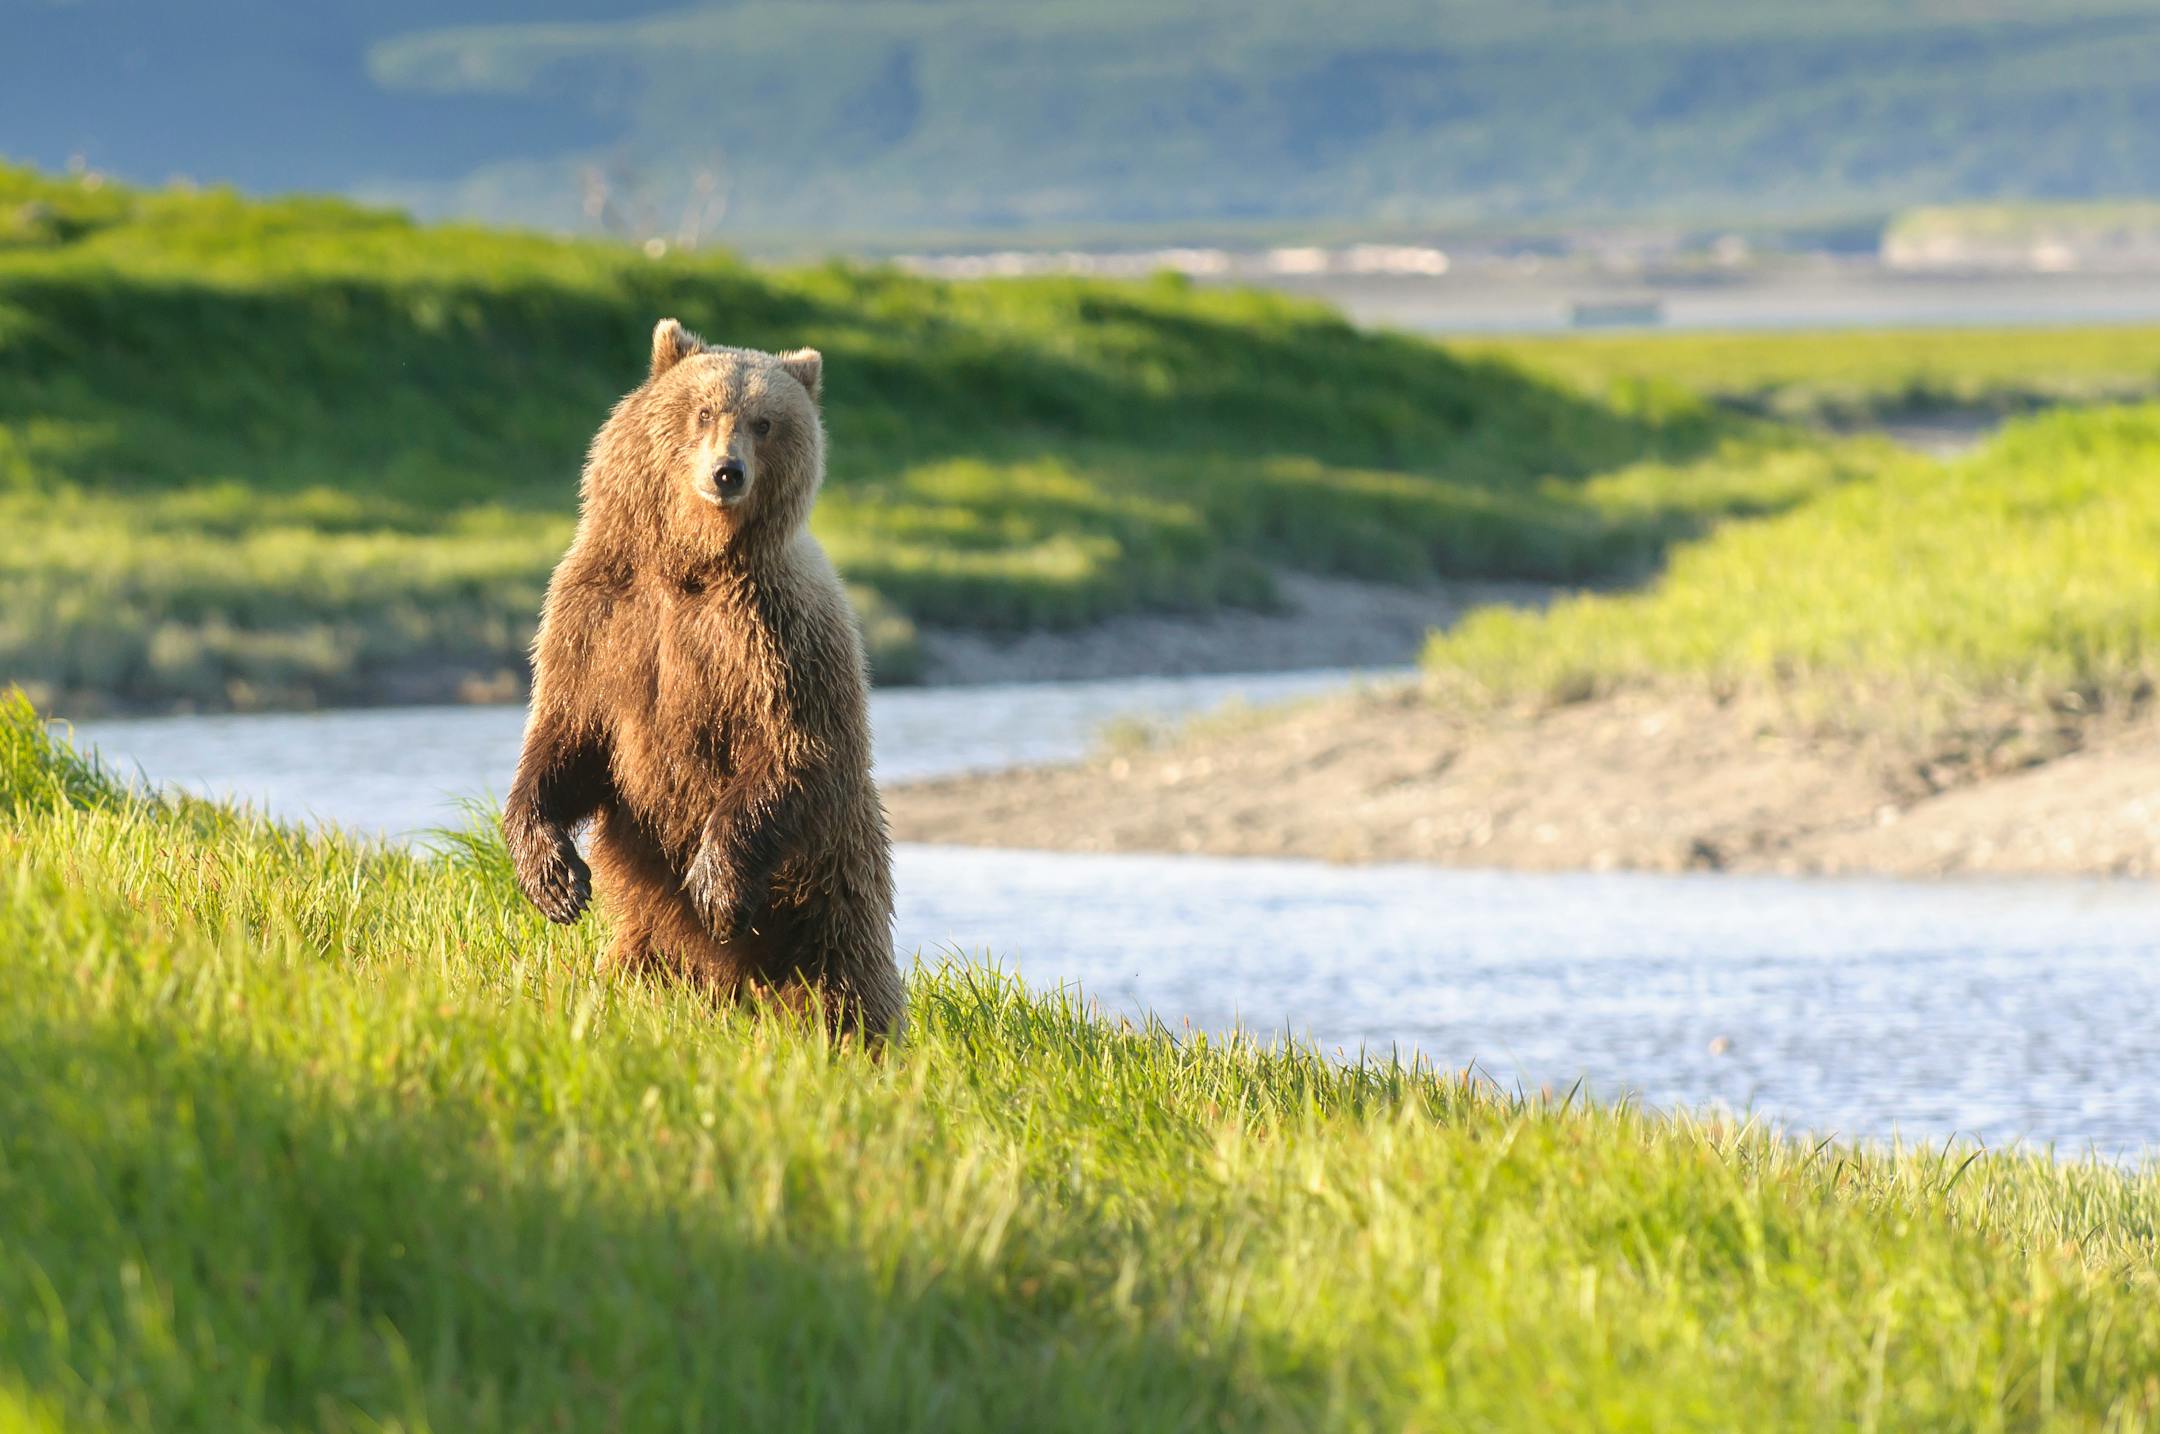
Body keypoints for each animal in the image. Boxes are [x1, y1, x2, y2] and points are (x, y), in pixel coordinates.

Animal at [502, 318, 904, 1039]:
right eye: (705, 411)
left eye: (766, 422)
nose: (727, 471)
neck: (690, 565)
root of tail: (735, 988)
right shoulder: (599, 615)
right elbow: (567, 735)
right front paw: (555, 878)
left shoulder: (773, 635)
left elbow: (793, 746)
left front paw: (716, 886)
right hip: (652, 930)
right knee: (634, 968)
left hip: (831, 884)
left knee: (843, 982)